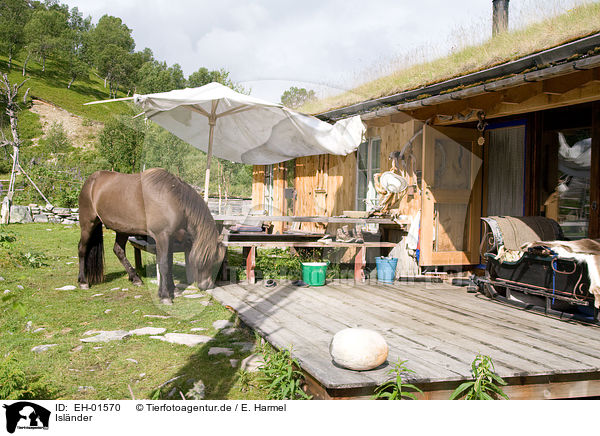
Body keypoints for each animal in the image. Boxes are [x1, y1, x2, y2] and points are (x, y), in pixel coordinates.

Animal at [76, 169, 224, 304]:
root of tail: (90, 181)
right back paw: (83, 282)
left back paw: (136, 278)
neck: (173, 199)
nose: (207, 285)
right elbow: (164, 264)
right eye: (211, 259)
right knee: (82, 249)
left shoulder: (170, 239)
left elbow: (169, 263)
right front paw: (165, 296)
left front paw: (172, 289)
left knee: (118, 251)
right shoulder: (162, 236)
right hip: (88, 224)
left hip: (122, 230)